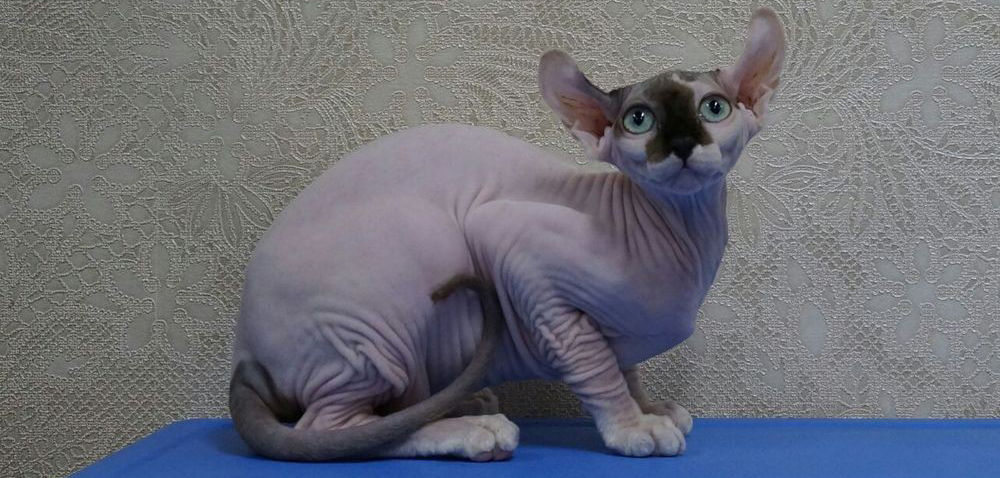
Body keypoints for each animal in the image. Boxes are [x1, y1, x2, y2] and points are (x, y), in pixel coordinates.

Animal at [229, 8, 785, 461]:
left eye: (714, 108)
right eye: (639, 120)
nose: (683, 143)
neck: (680, 237)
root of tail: (244, 354)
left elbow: (625, 366)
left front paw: (648, 407)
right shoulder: (508, 238)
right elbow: (597, 366)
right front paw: (631, 427)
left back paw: (463, 403)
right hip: (403, 271)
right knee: (331, 429)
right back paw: (472, 431)